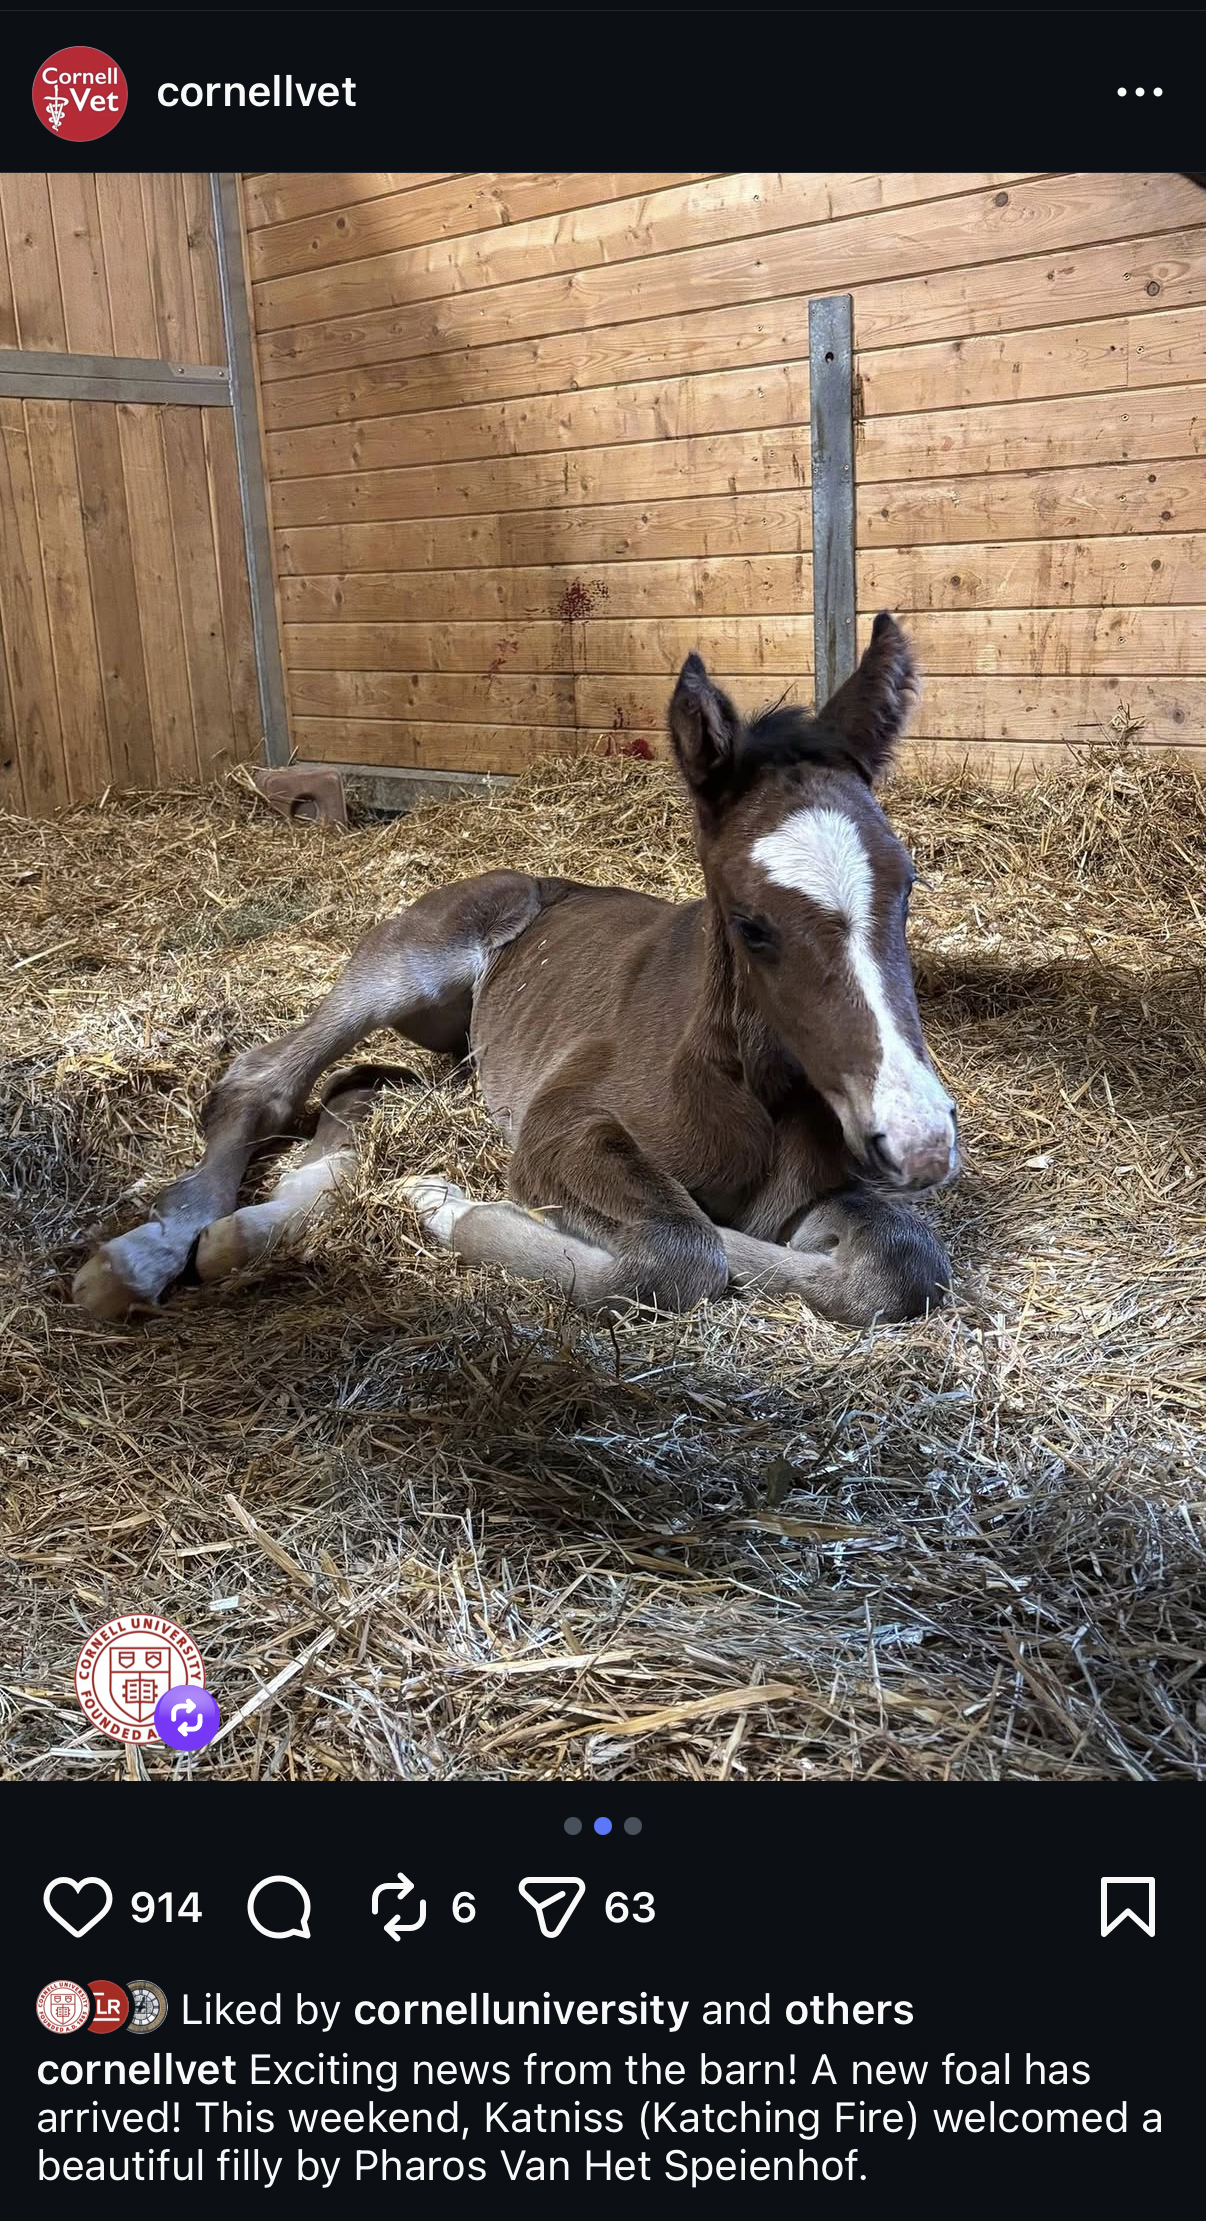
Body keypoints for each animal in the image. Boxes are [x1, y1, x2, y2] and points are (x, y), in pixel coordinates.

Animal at [72, 613, 959, 1327]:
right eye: (751, 922)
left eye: (908, 883)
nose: (921, 1144)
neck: (746, 1090)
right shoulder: (559, 1123)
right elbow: (682, 1250)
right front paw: (443, 1201)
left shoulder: (816, 1192)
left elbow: (901, 1266)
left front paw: (437, 1195)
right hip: (405, 967)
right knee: (263, 1080)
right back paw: (138, 1257)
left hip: (464, 1061)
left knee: (370, 1090)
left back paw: (251, 1229)